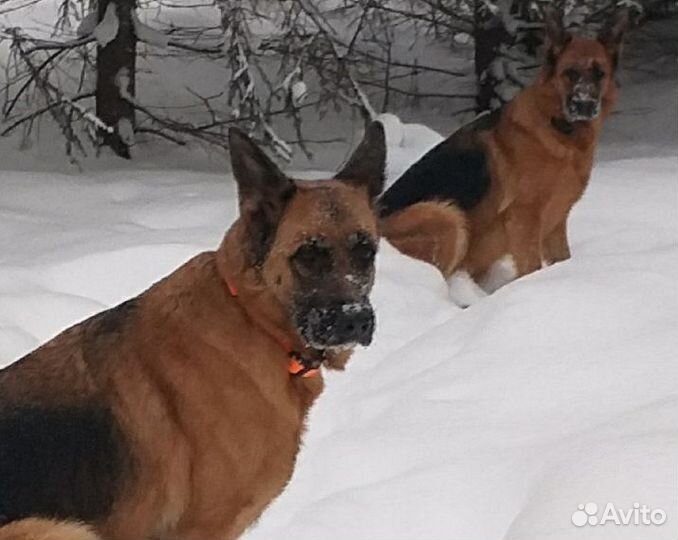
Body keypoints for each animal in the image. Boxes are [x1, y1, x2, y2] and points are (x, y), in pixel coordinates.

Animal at [0, 122, 388, 540]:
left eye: (366, 252)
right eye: (309, 255)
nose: (354, 319)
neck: (252, 318)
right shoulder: (202, 527)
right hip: (56, 528)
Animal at [380, 8, 628, 306]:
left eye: (599, 73)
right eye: (570, 73)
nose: (584, 105)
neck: (559, 129)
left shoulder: (556, 223)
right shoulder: (524, 219)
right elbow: (531, 268)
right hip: (443, 215)